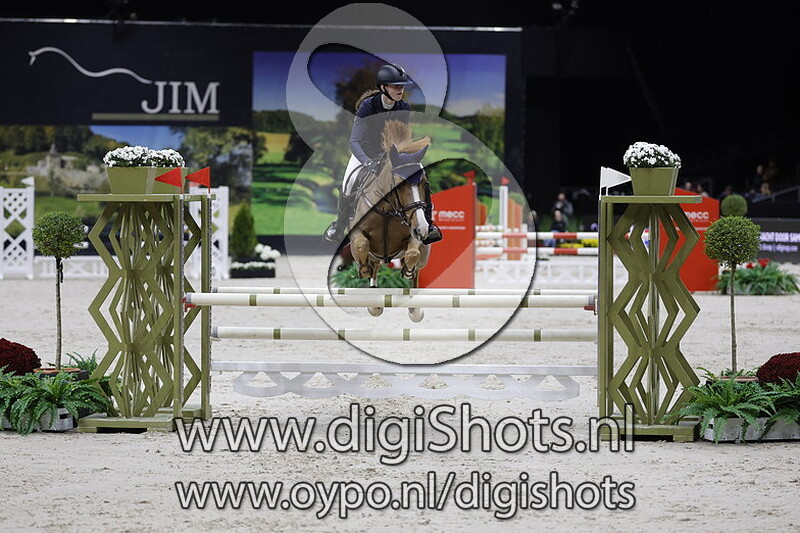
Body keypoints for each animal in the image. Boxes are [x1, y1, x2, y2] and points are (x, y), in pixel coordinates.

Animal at [345, 119, 432, 322]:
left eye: (425, 184)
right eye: (399, 185)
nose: (423, 229)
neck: (387, 210)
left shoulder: (414, 234)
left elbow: (412, 254)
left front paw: (407, 270)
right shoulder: (357, 234)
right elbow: (361, 245)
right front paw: (363, 270)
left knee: (416, 274)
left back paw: (414, 309)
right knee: (375, 266)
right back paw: (375, 304)